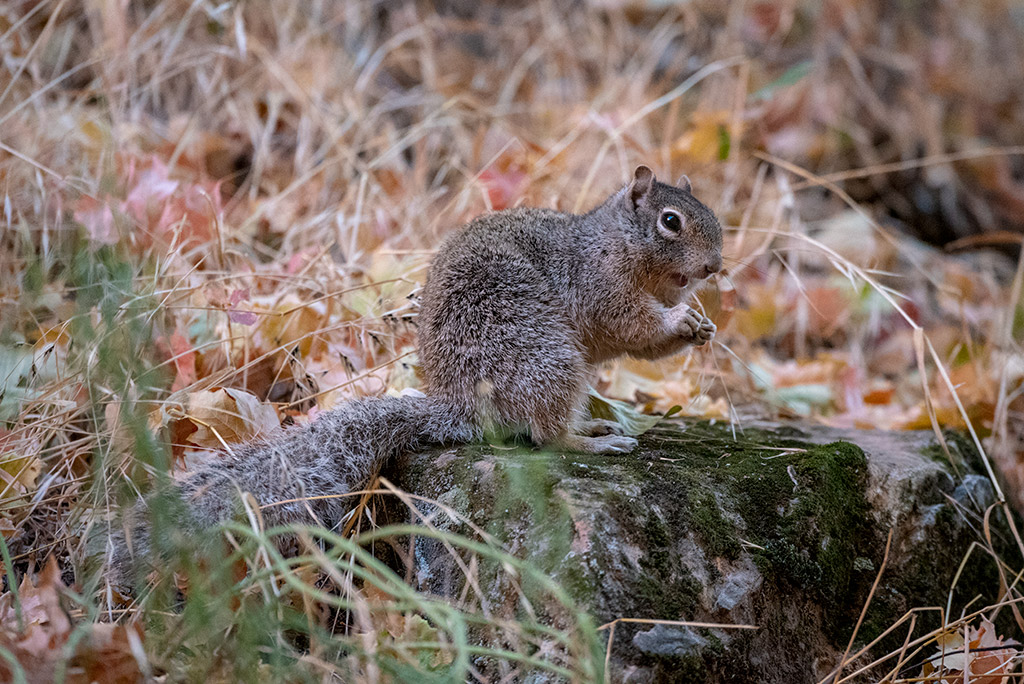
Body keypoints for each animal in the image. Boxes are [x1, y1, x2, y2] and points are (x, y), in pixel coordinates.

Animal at [111, 165, 722, 578]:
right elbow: (629, 325)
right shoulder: (598, 286)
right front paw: (682, 321)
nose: (715, 268)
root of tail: (459, 407)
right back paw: (591, 439)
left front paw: (699, 324)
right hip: (544, 359)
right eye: (671, 222)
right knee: (546, 435)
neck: (615, 244)